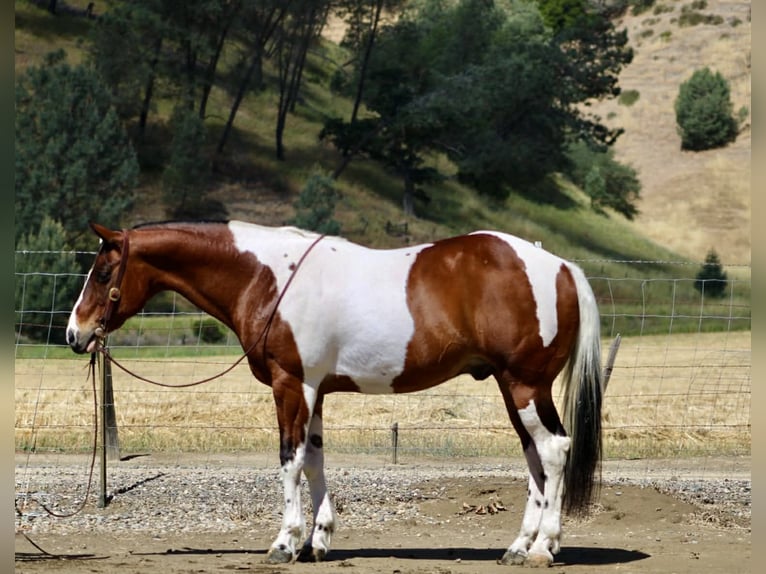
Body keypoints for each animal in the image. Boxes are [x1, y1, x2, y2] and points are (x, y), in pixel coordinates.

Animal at [66, 220, 603, 567]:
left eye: (103, 273)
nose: (75, 334)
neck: (269, 277)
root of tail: (560, 266)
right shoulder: (315, 391)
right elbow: (315, 460)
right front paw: (317, 542)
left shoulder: (291, 385)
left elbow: (290, 460)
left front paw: (284, 543)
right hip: (514, 389)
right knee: (535, 457)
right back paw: (519, 546)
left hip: (524, 384)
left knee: (554, 450)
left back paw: (542, 548)